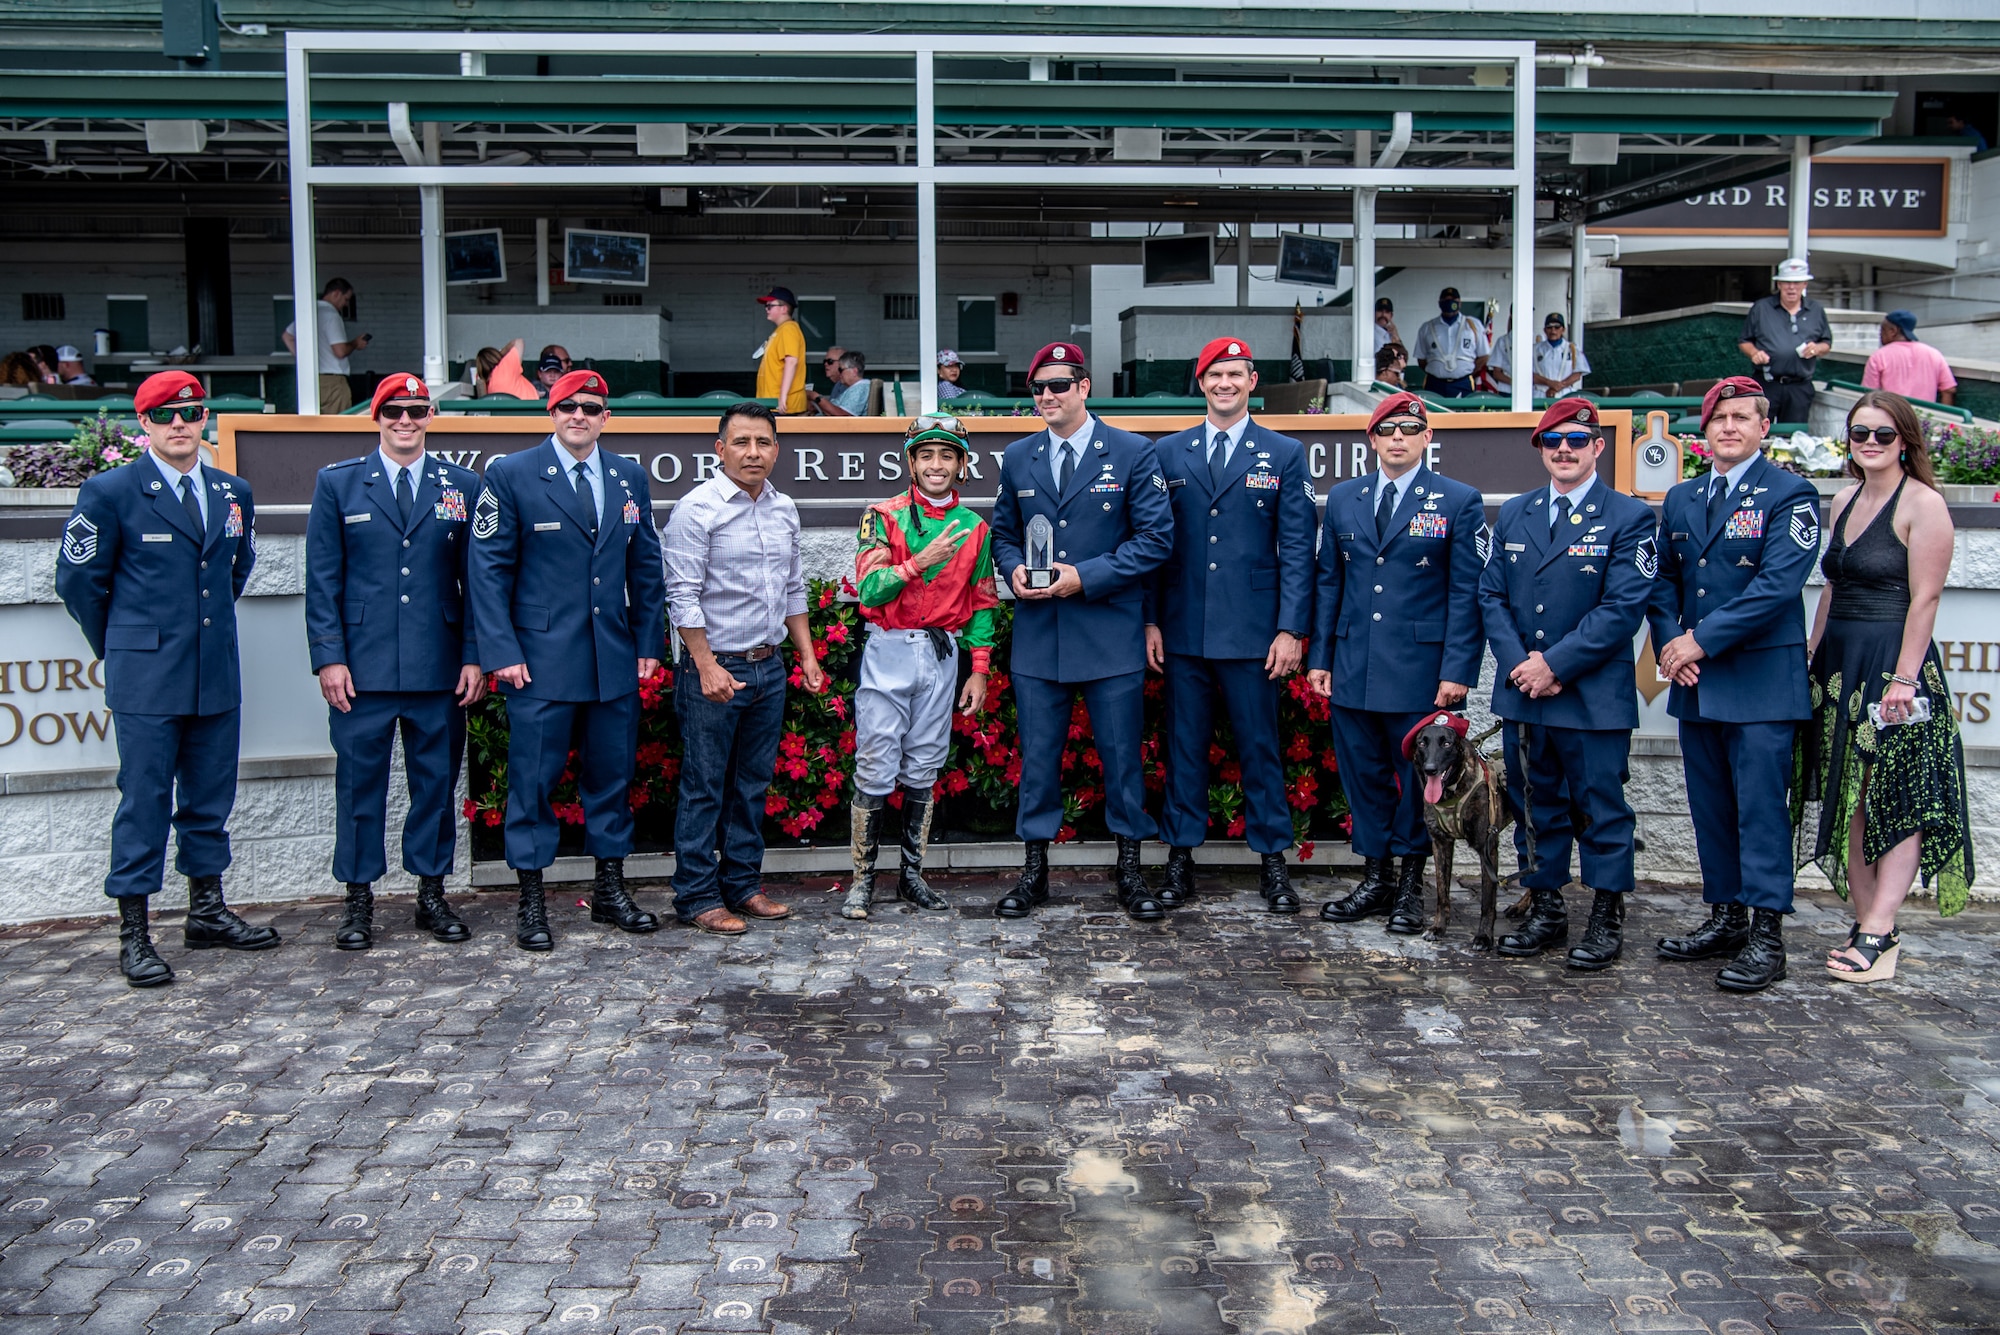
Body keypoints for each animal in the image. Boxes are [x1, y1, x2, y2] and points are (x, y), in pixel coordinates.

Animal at [1400, 715, 1504, 943]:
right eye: (1422, 743)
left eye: (1446, 743)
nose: (1430, 769)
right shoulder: (1441, 843)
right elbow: (1442, 892)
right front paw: (1438, 927)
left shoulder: (1487, 848)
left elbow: (1488, 899)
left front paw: (1484, 936)